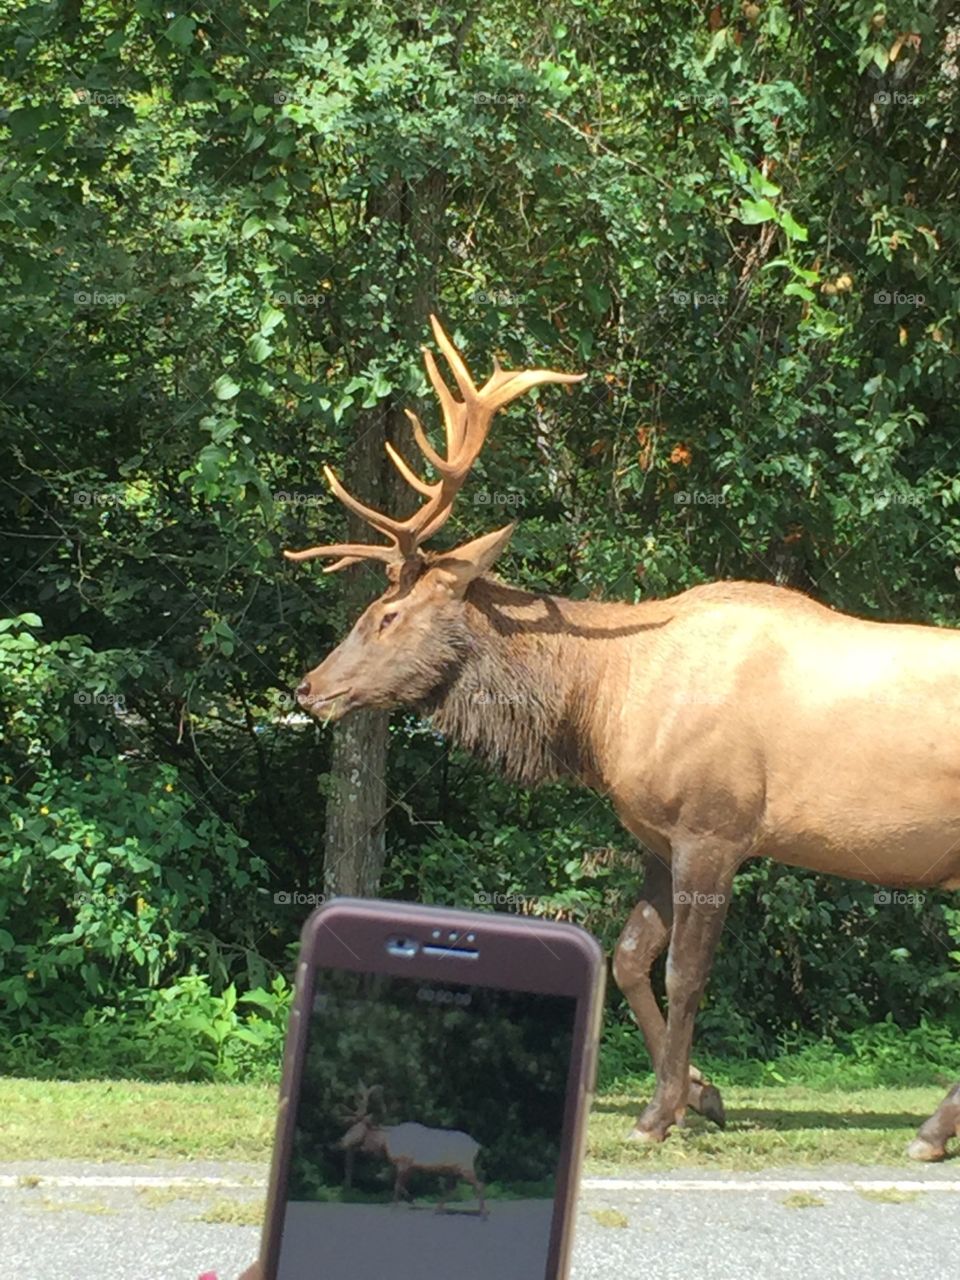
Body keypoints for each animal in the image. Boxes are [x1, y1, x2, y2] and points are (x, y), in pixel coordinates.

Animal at [286, 316, 960, 1164]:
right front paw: (704, 1094)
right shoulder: (655, 836)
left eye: (387, 615)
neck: (602, 710)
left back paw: (930, 1132)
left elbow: (687, 973)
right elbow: (630, 956)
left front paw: (658, 1112)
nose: (308, 686)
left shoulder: (716, 827)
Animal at [336, 1082, 487, 1216]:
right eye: (350, 1127)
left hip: (465, 1166)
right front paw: (411, 1201)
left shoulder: (403, 1162)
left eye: (355, 1129)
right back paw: (438, 1210)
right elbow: (402, 1186)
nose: (341, 1142)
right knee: (451, 1188)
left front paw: (394, 1207)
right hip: (453, 1170)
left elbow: (397, 1185)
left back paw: (482, 1214)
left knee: (479, 1184)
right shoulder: (411, 1166)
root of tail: (477, 1146)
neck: (386, 1142)